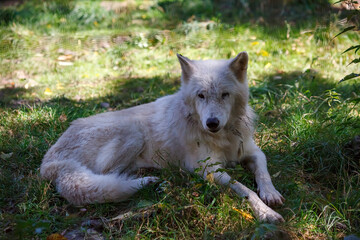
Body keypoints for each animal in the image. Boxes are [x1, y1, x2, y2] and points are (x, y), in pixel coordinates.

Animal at [40, 52, 286, 223]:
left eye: (225, 95)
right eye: (201, 95)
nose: (212, 123)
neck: (224, 137)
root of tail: (48, 161)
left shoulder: (253, 152)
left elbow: (263, 173)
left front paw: (271, 194)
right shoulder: (207, 169)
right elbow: (244, 189)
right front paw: (266, 213)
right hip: (133, 132)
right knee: (107, 178)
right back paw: (150, 180)